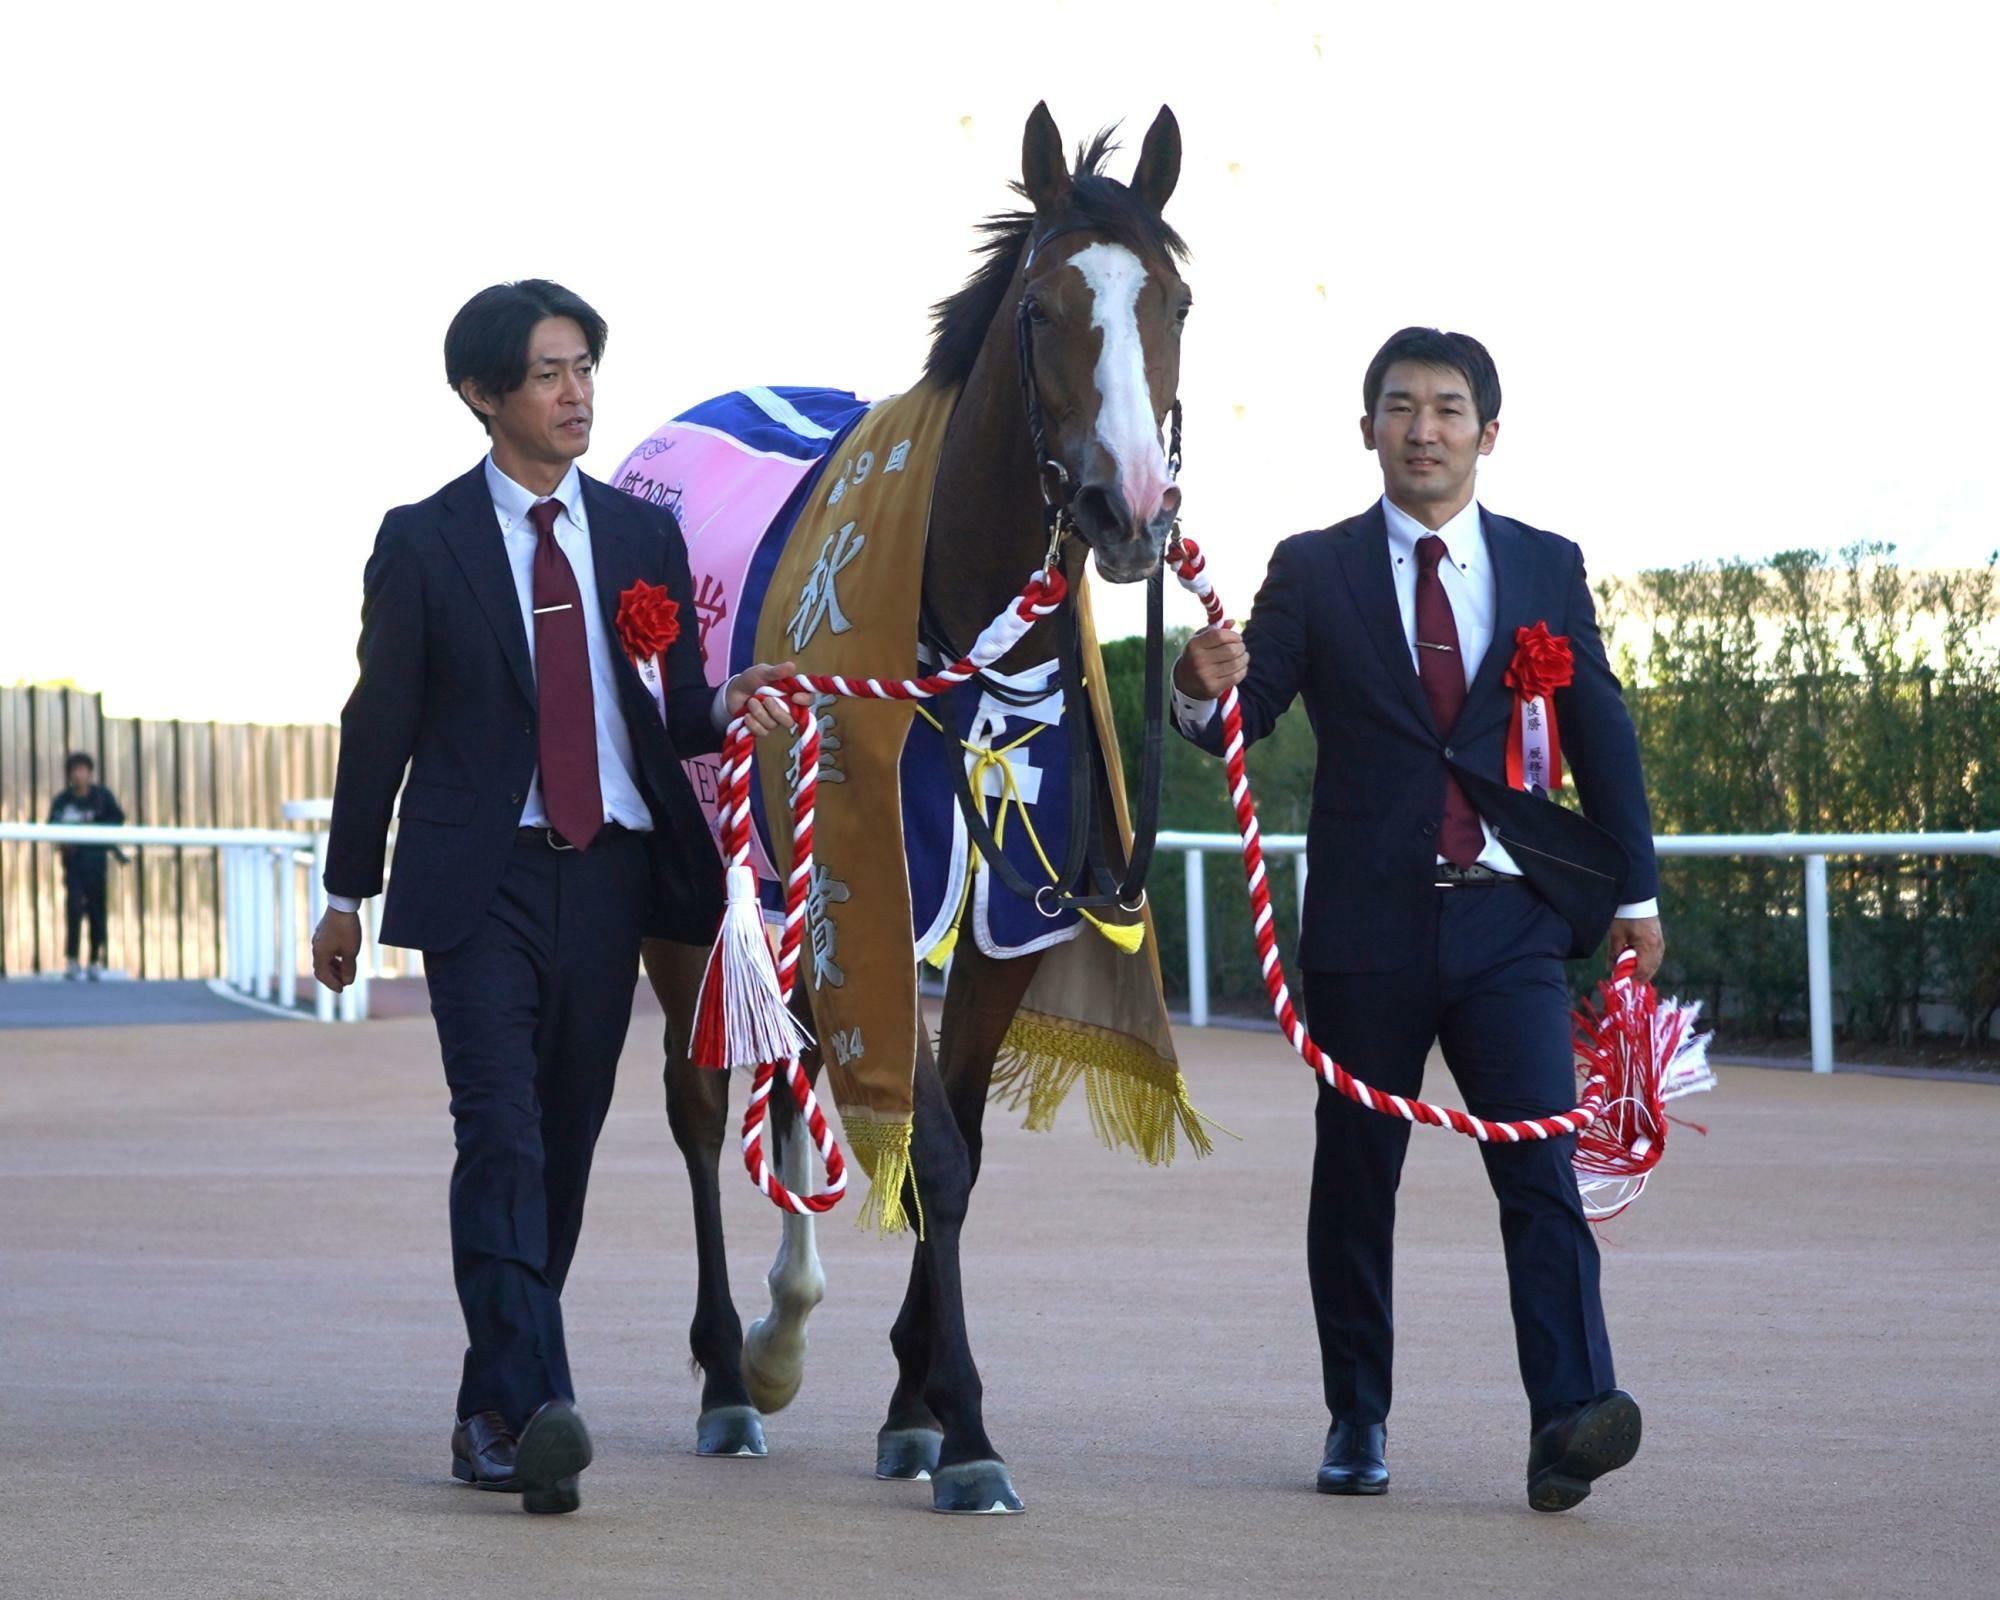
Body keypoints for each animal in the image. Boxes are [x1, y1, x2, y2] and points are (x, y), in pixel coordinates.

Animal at [640, 103, 1184, 1512]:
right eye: (1042, 310)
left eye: (1174, 300)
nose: (1124, 508)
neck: (969, 657)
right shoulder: (870, 876)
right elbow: (926, 1145)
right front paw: (969, 1426)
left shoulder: (1014, 917)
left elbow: (965, 1149)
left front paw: (916, 1403)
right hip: (695, 886)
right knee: (699, 1100)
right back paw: (729, 1373)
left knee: (794, 1063)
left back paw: (782, 1326)